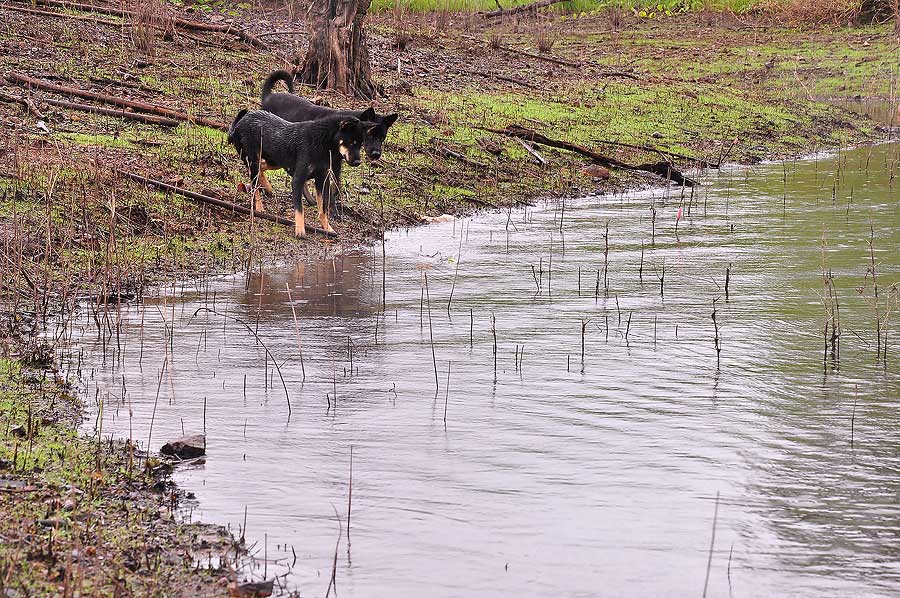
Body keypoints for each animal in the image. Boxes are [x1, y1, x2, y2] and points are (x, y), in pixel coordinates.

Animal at [227, 109, 364, 240]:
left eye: (360, 145)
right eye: (351, 142)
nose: (358, 162)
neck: (322, 142)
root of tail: (242, 120)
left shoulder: (321, 180)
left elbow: (323, 209)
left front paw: (327, 228)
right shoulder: (298, 180)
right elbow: (300, 209)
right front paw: (300, 231)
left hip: (276, 160)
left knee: (262, 167)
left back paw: (268, 187)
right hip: (254, 160)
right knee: (255, 186)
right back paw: (259, 207)